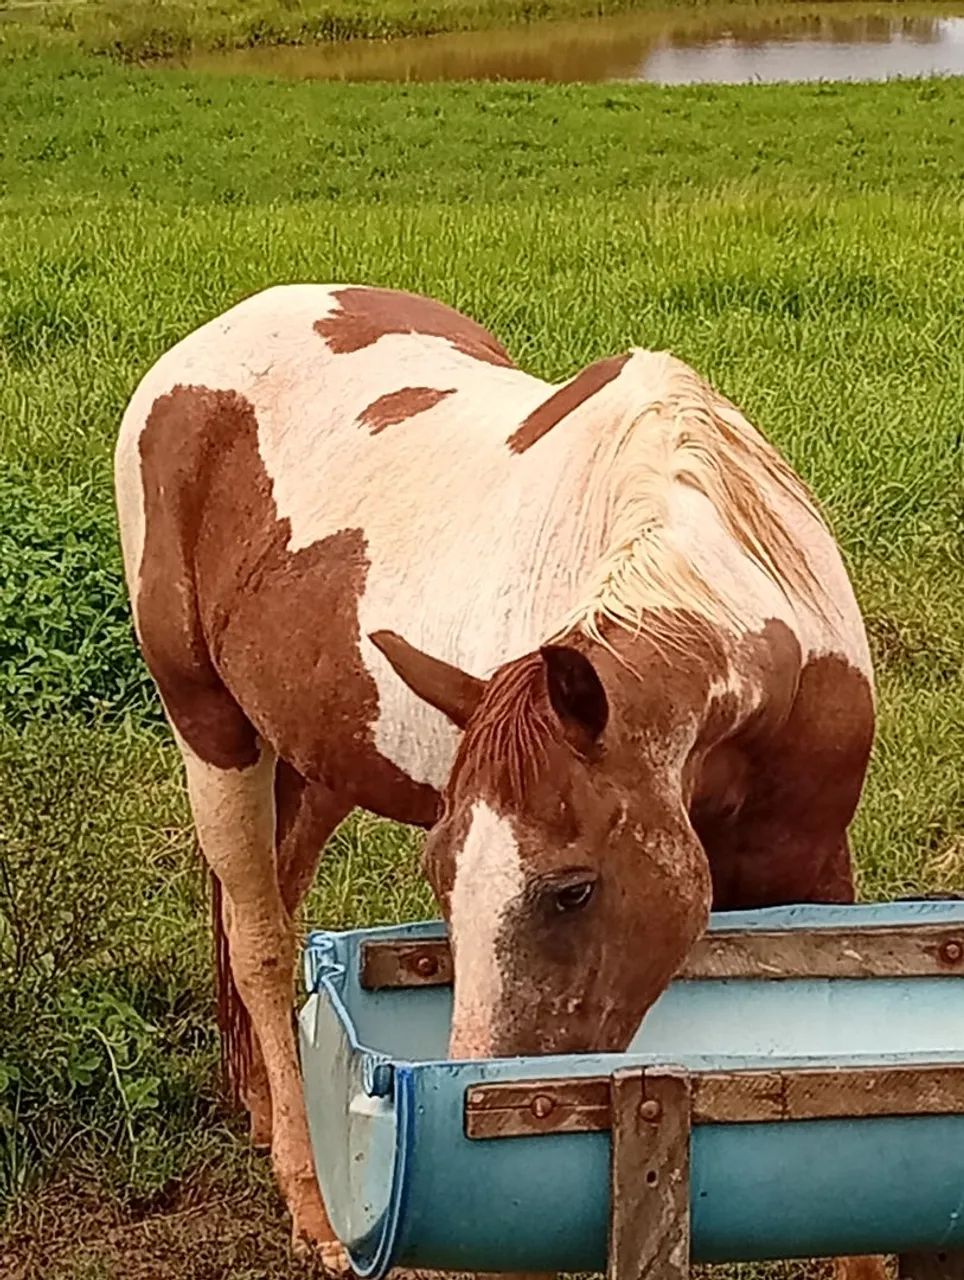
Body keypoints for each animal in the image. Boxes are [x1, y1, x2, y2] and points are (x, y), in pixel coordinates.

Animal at [115, 283, 875, 1267]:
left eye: (573, 890)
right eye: (439, 879)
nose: (492, 1078)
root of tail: (197, 355)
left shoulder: (814, 867)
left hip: (316, 758)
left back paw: (261, 1110)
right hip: (211, 730)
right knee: (261, 943)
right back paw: (310, 1203)